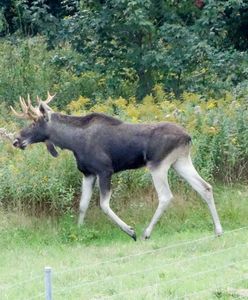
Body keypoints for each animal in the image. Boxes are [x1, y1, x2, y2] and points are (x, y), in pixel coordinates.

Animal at [9, 94, 223, 241]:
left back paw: (146, 233)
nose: (16, 140)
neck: (72, 142)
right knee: (205, 187)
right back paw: (218, 230)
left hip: (158, 165)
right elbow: (82, 205)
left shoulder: (105, 170)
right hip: (181, 162)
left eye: (34, 122)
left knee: (166, 196)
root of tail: (188, 137)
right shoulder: (88, 173)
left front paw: (130, 231)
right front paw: (79, 231)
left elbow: (103, 205)